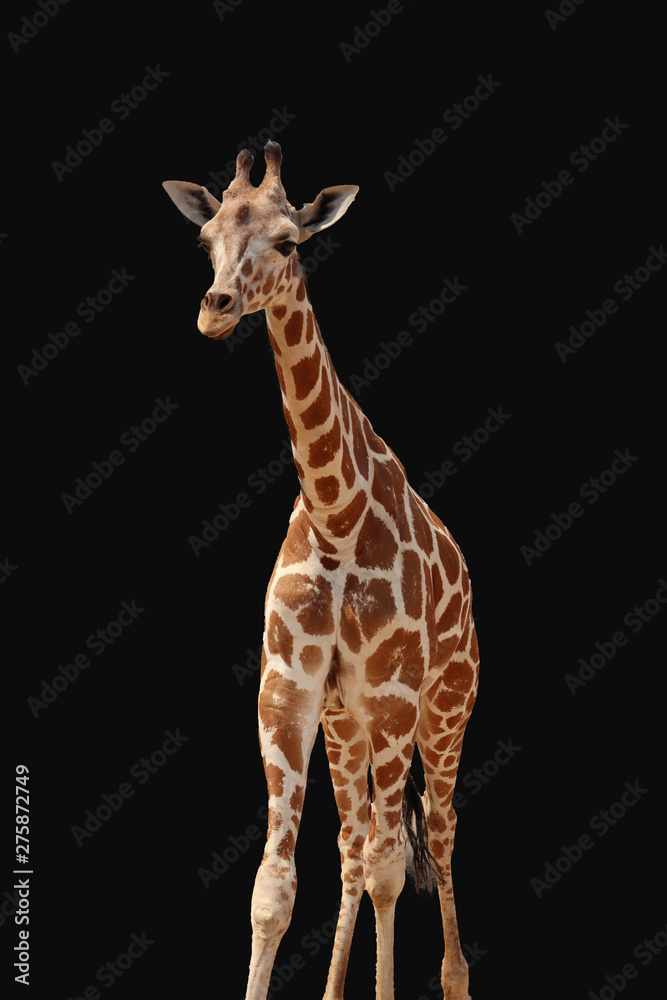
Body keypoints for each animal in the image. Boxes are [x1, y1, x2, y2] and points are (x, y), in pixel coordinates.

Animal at [163, 141, 480, 1000]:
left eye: (288, 242)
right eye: (204, 238)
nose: (215, 306)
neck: (336, 513)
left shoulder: (397, 695)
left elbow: (391, 867)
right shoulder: (289, 689)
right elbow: (274, 886)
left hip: (444, 710)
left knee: (433, 834)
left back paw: (455, 979)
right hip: (348, 726)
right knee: (352, 842)